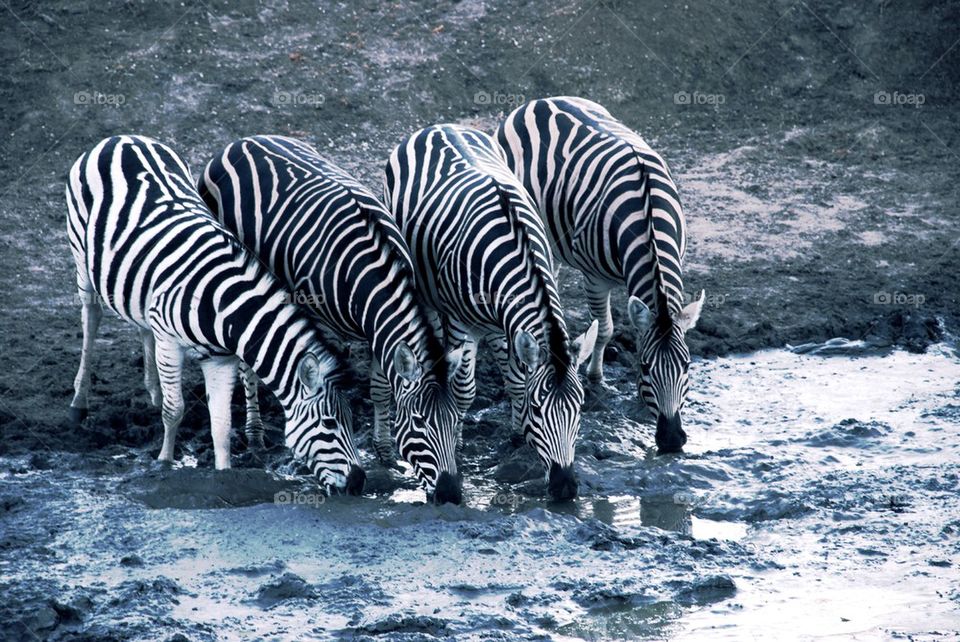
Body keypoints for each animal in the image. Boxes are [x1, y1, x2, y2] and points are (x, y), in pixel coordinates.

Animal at [65, 135, 365, 494]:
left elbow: (221, 424)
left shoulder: (221, 359)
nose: (359, 482)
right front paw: (164, 463)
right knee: (91, 317)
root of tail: (122, 138)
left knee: (141, 326)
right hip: (82, 258)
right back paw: (79, 403)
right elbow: (175, 410)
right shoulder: (171, 343)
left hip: (138, 286)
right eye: (330, 423)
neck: (223, 306)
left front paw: (224, 477)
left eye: (352, 420)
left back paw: (153, 391)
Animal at [198, 135, 465, 504]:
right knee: (247, 364)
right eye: (418, 422)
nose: (451, 495)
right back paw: (254, 435)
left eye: (455, 422)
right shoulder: (315, 313)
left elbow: (380, 389)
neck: (369, 275)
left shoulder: (378, 331)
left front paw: (385, 451)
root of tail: (240, 142)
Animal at [384, 124, 598, 501]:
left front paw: (518, 437)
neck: (513, 251)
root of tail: (438, 126)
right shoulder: (461, 322)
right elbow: (463, 391)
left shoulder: (511, 320)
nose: (565, 489)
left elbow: (516, 380)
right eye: (539, 410)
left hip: (497, 324)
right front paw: (456, 441)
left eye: (580, 408)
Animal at [496, 96, 704, 454]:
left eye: (687, 366)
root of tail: (540, 101)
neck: (647, 216)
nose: (671, 441)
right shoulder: (595, 278)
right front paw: (596, 380)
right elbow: (605, 330)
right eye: (646, 367)